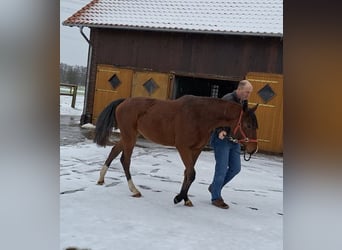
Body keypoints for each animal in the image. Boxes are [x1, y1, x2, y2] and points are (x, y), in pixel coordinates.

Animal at [92, 94, 258, 206]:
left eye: (256, 125)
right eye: (248, 125)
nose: (253, 149)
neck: (200, 116)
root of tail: (123, 102)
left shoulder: (196, 150)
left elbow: (188, 173)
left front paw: (185, 198)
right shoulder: (183, 148)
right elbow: (191, 173)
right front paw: (179, 198)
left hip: (128, 137)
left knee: (114, 151)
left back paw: (101, 179)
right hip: (130, 137)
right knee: (125, 160)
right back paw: (135, 190)